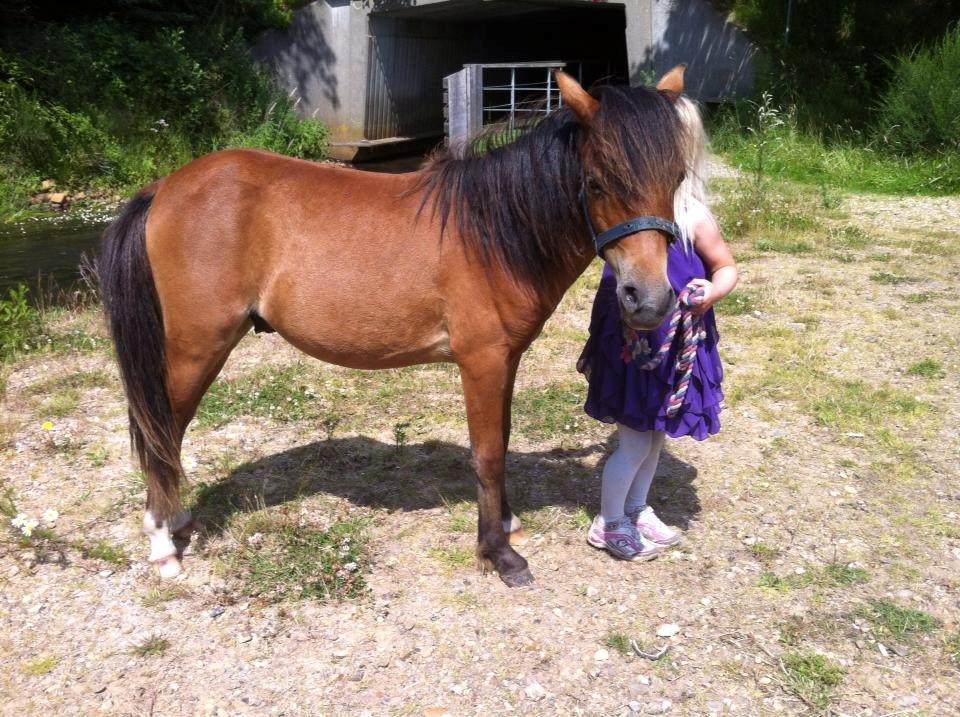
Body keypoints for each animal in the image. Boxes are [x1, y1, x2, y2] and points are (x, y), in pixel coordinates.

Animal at [98, 67, 688, 587]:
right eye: (596, 181)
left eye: (677, 178)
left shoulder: (506, 360)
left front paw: (505, 524)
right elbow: (487, 454)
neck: (493, 231)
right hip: (196, 348)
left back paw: (176, 522)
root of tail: (166, 186)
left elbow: (500, 438)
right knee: (161, 431)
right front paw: (499, 554)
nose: (648, 299)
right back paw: (163, 545)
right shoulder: (481, 362)